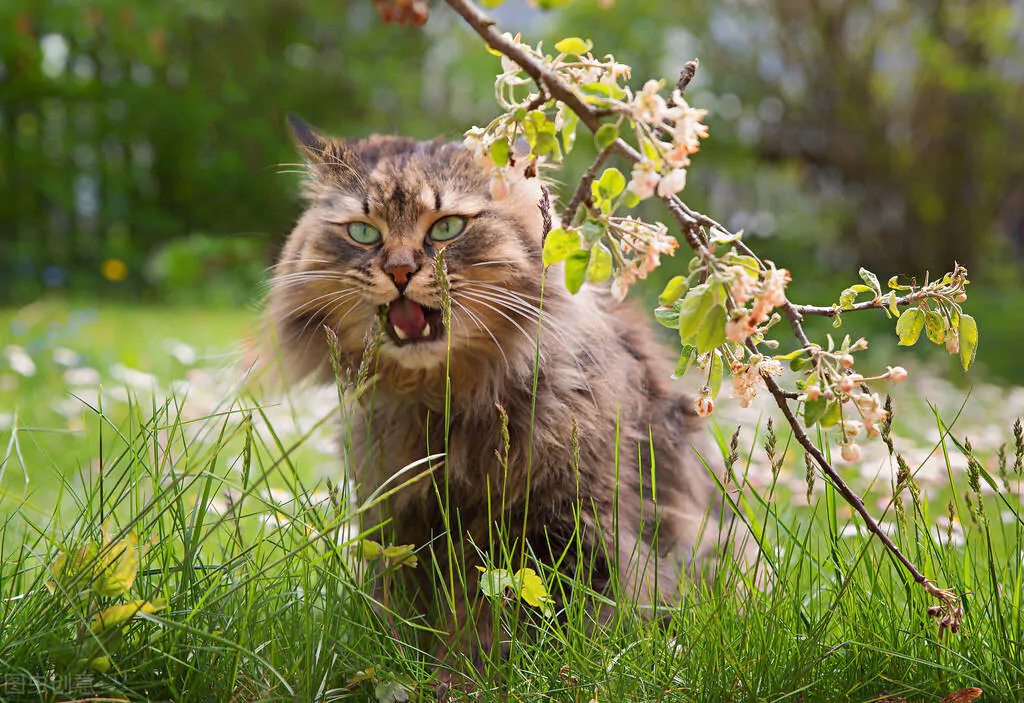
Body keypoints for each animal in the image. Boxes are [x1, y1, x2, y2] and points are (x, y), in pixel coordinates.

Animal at [264, 115, 745, 687]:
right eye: (363, 233)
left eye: (446, 228)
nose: (400, 271)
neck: (445, 401)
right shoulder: (401, 521)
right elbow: (406, 620)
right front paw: (415, 673)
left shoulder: (564, 523)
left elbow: (525, 622)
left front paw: (471, 678)